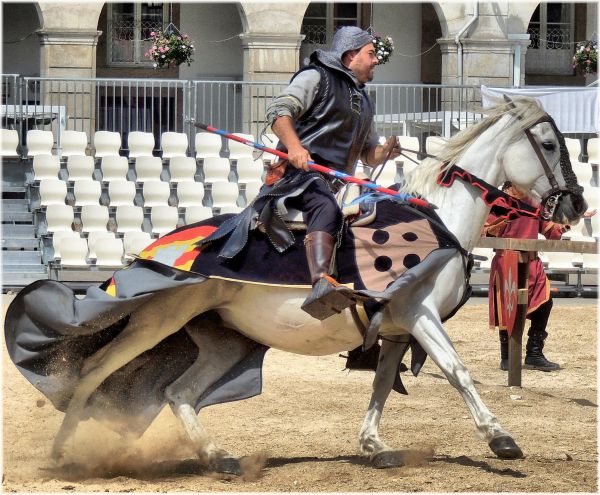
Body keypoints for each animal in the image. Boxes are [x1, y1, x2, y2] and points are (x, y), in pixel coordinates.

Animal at [4, 95, 584, 474]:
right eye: (548, 142)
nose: (576, 206)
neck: (440, 218)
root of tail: (157, 247)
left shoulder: (396, 330)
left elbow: (381, 384)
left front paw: (374, 445)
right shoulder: (420, 316)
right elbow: (459, 372)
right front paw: (501, 439)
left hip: (225, 339)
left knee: (177, 392)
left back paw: (218, 457)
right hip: (157, 317)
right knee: (95, 369)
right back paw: (62, 453)